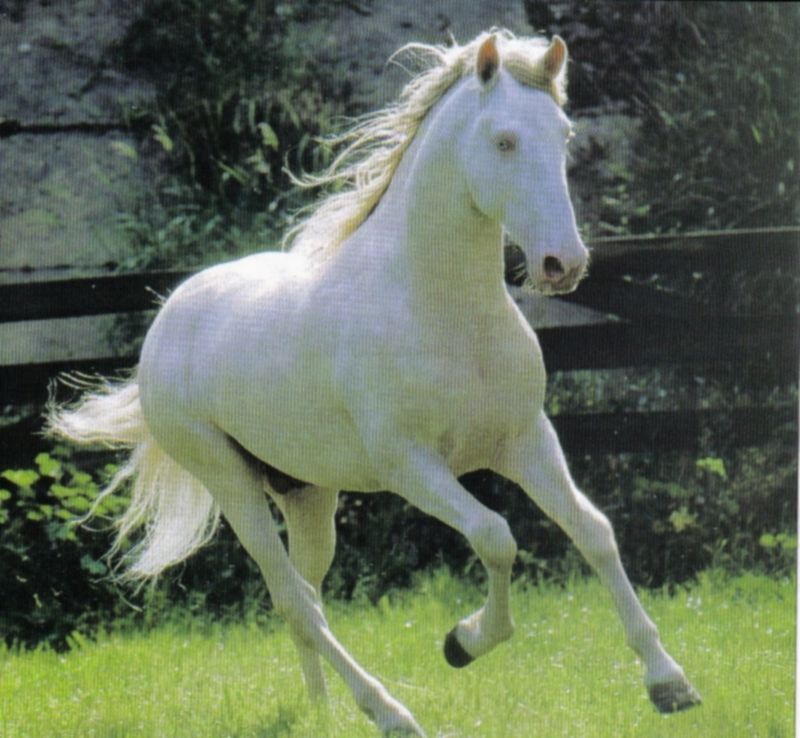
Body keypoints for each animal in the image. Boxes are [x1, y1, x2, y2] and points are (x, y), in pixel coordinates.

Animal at [47, 31, 700, 736]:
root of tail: (167, 320)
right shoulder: (410, 465)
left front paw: (669, 683)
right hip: (229, 482)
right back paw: (389, 712)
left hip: (306, 494)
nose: (564, 264)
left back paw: (320, 711)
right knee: (293, 598)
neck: (437, 308)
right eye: (503, 140)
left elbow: (593, 532)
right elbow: (496, 537)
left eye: (564, 132)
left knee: (306, 596)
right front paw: (462, 643)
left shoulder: (525, 440)